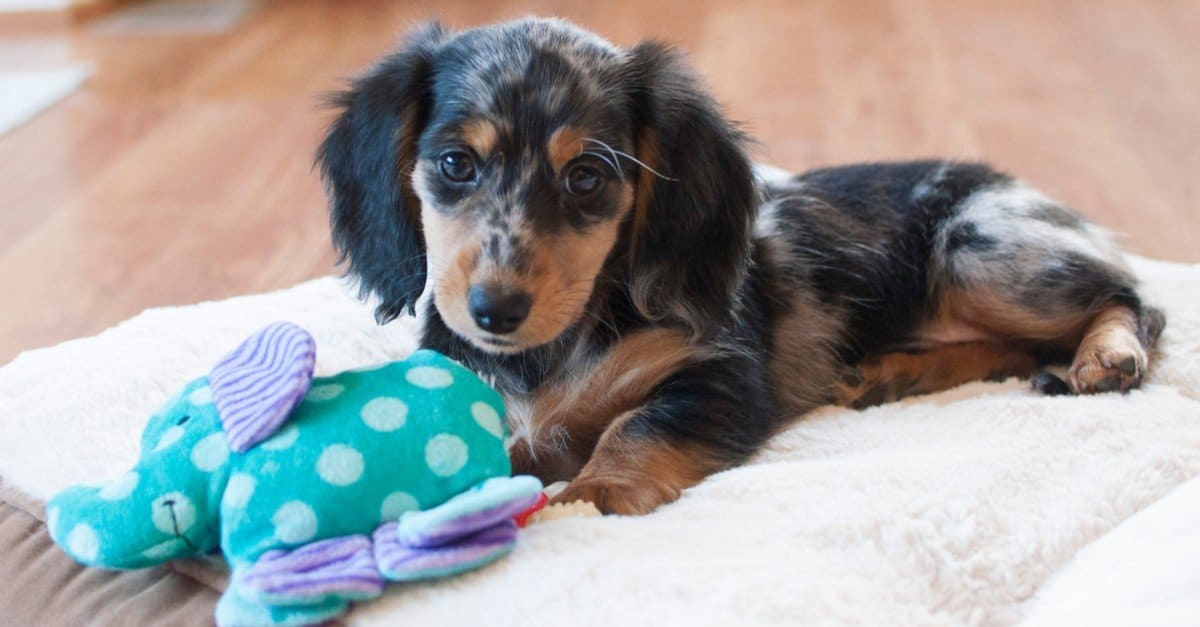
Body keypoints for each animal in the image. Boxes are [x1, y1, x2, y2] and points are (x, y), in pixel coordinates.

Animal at [319, 18, 1161, 511]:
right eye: (455, 164)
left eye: (586, 177)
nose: (494, 311)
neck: (558, 345)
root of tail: (1033, 193)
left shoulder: (719, 374)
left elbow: (636, 422)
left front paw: (594, 491)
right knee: (1020, 345)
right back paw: (891, 373)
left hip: (978, 249)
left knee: (1130, 298)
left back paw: (1109, 355)